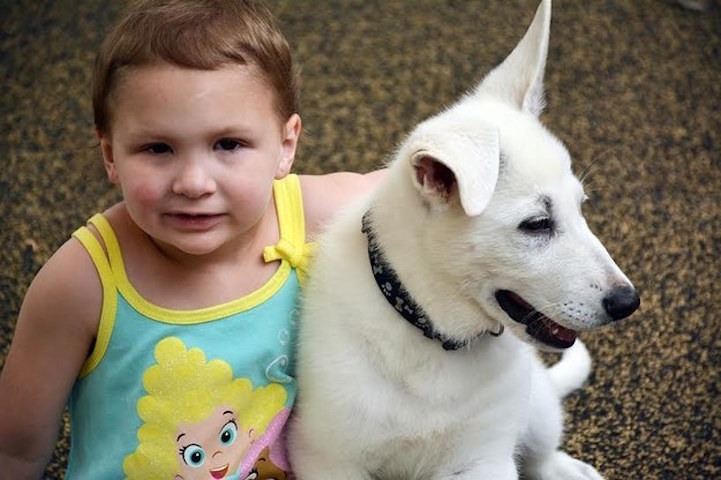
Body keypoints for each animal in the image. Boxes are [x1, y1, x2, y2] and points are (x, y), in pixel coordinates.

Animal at [286, 1, 636, 478]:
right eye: (537, 224)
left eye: (581, 207)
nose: (628, 302)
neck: (433, 333)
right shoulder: (330, 459)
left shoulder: (483, 458)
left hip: (535, 410)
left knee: (543, 456)